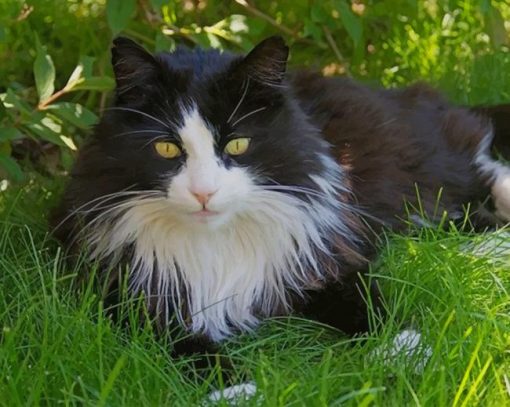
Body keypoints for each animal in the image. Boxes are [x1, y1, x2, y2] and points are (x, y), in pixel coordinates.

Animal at [50, 35, 510, 362]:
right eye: (166, 149)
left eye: (237, 145)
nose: (204, 192)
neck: (217, 244)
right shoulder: (123, 290)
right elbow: (187, 346)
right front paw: (234, 390)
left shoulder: (328, 259)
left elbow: (371, 308)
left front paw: (407, 355)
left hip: (424, 173)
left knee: (481, 159)